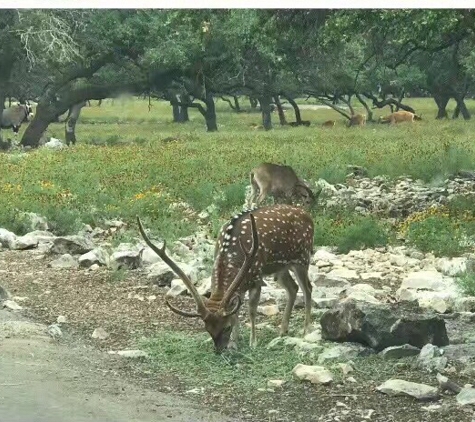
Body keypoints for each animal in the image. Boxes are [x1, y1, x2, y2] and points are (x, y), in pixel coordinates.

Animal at [137, 204, 316, 352]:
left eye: (226, 328)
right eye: (207, 329)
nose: (218, 350)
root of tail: (308, 215)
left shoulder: (256, 276)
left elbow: (251, 310)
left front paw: (253, 342)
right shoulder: (241, 284)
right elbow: (236, 311)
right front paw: (234, 342)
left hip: (302, 257)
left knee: (308, 288)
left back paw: (306, 330)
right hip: (280, 267)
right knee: (293, 288)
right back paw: (282, 331)